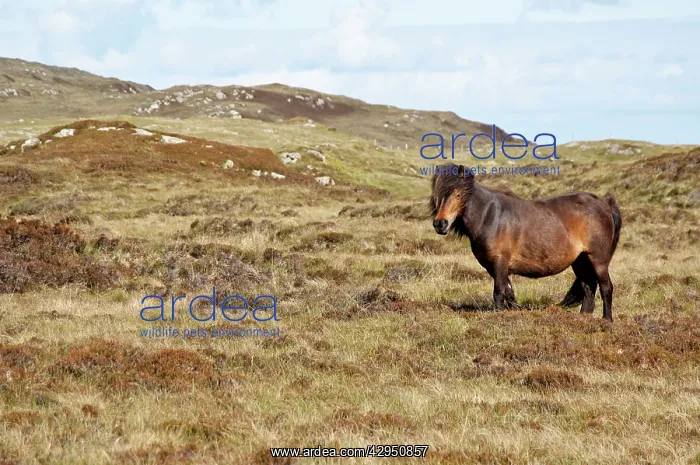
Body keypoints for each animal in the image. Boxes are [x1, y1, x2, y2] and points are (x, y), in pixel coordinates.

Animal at [429, 164, 622, 321]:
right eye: (437, 196)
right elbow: (509, 292)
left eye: (458, 194)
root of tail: (605, 205)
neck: (490, 216)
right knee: (588, 288)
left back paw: (607, 320)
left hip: (598, 259)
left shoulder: (500, 261)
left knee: (606, 287)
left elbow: (498, 292)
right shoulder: (493, 266)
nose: (440, 224)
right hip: (581, 260)